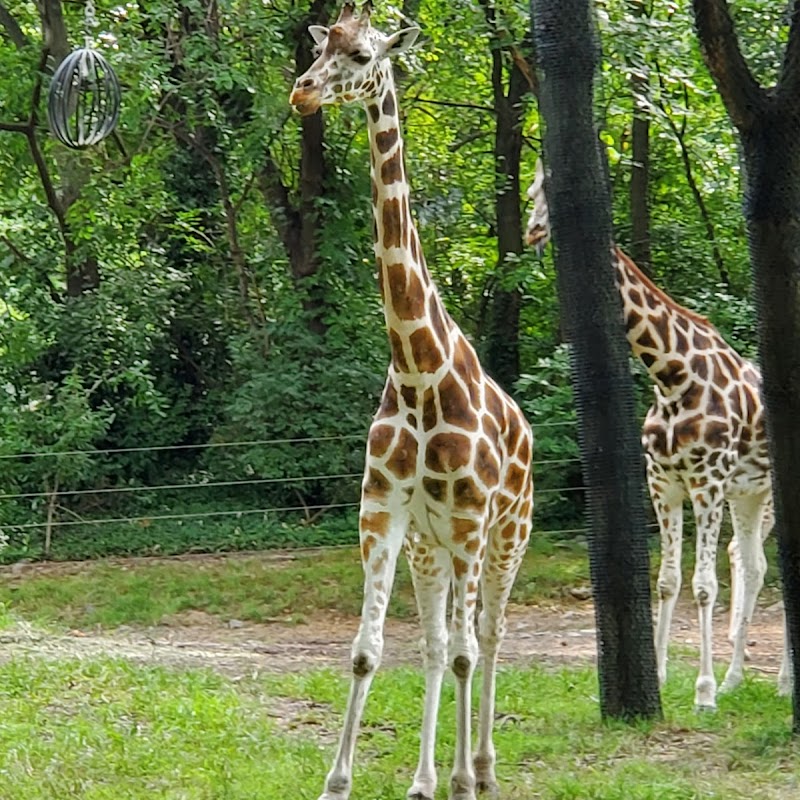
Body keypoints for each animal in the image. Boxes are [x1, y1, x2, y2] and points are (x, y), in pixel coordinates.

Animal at [290, 3, 536, 796]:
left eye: (364, 55)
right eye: (320, 49)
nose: (303, 93)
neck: (418, 371)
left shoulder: (468, 522)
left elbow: (466, 651)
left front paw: (462, 778)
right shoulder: (384, 514)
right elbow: (369, 650)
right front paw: (338, 781)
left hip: (506, 534)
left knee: (486, 635)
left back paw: (480, 768)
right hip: (433, 549)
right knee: (434, 642)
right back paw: (427, 778)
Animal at [520, 159, 792, 708]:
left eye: (555, 192)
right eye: (532, 190)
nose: (533, 231)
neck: (670, 376)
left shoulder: (707, 482)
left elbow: (704, 584)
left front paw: (704, 693)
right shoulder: (663, 481)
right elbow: (667, 580)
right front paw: (666, 676)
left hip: (766, 492)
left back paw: (779, 684)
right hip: (750, 496)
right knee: (751, 564)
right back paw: (739, 679)